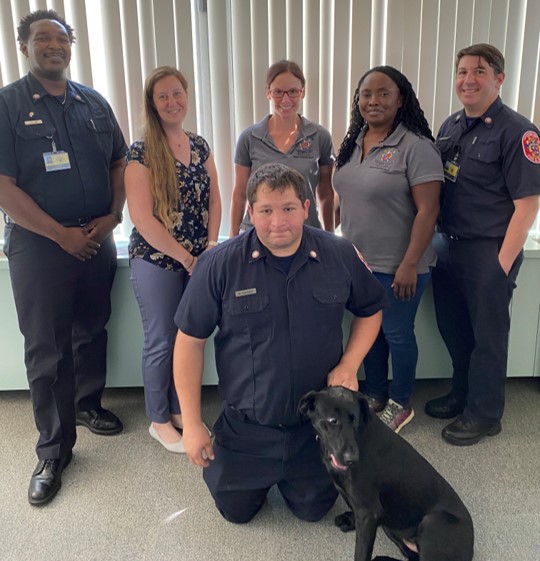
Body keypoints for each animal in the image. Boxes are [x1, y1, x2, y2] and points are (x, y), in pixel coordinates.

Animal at [298, 388, 474, 560]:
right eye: (333, 421)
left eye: (355, 420)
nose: (352, 459)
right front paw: (350, 520)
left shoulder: (369, 512)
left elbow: (361, 552)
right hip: (392, 529)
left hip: (431, 521)